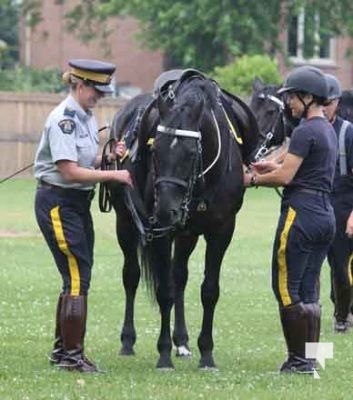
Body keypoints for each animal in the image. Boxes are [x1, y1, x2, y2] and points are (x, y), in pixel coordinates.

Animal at [101, 70, 258, 370]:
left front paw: (206, 353)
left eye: (191, 153)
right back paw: (128, 340)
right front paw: (163, 354)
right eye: (155, 151)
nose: (166, 210)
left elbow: (209, 290)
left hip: (187, 234)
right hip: (126, 223)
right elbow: (165, 291)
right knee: (132, 276)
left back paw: (182, 342)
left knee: (179, 276)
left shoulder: (222, 231)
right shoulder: (160, 232)